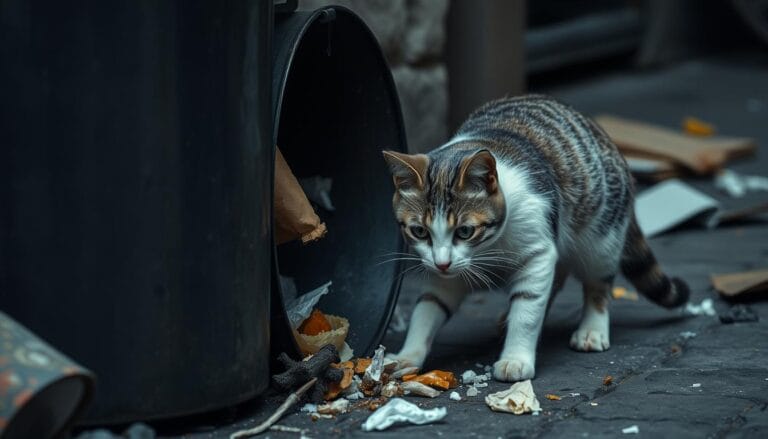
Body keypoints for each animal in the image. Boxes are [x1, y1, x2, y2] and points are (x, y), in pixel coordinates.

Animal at [384, 95, 688, 382]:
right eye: (419, 231)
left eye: (465, 231)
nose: (442, 264)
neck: (489, 247)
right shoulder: (449, 271)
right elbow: (427, 308)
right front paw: (408, 355)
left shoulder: (538, 249)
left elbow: (528, 309)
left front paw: (516, 359)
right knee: (558, 277)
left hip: (601, 236)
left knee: (597, 283)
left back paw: (592, 328)